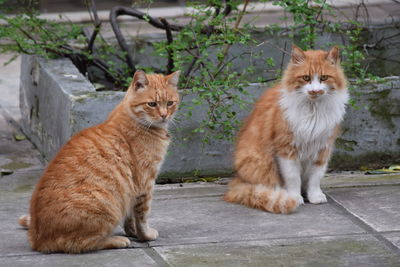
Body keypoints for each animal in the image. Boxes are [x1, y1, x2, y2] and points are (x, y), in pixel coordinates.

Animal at [18, 70, 180, 254]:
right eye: (152, 104)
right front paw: (144, 235)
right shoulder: (145, 183)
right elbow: (142, 216)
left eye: (170, 103)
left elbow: (130, 216)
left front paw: (132, 231)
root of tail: (36, 239)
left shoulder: (131, 189)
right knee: (80, 243)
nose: (164, 115)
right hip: (105, 206)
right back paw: (117, 240)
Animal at [223, 45, 348, 215]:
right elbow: (293, 178)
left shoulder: (322, 149)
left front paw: (315, 196)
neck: (313, 110)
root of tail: (238, 179)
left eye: (323, 77)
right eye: (306, 78)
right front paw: (294, 198)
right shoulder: (286, 148)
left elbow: (315, 178)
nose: (315, 91)